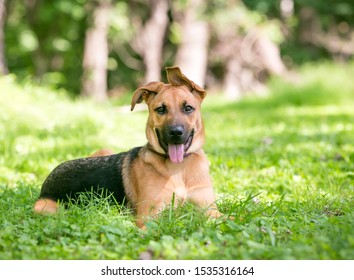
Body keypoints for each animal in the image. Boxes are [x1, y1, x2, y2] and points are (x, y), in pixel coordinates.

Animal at [33, 66, 223, 229]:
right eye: (161, 109)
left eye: (188, 108)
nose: (175, 133)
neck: (180, 169)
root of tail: (48, 180)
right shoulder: (149, 216)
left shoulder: (210, 210)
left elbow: (229, 218)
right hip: (46, 207)